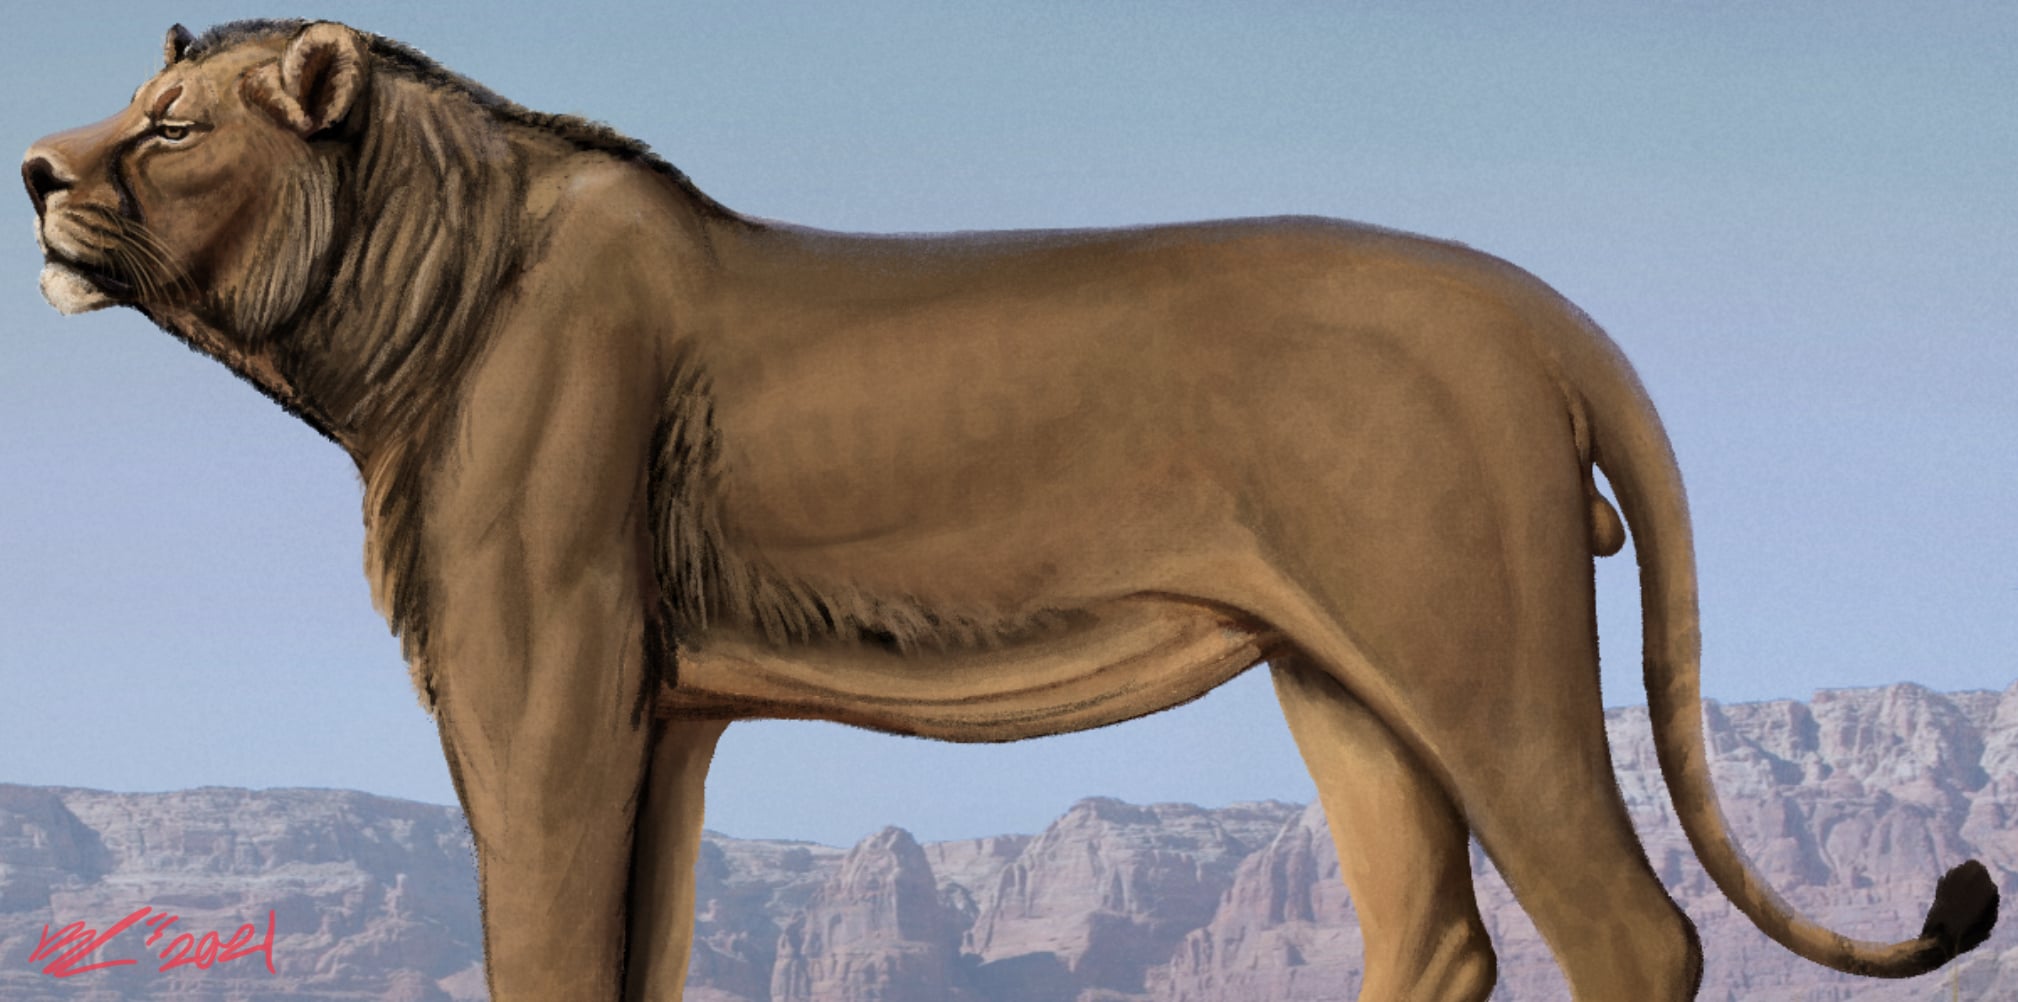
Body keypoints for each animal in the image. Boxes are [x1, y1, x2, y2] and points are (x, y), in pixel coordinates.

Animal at [23, 19, 1996, 1002]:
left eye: (175, 126)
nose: (35, 170)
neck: (407, 306)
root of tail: (1535, 305)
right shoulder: (662, 715)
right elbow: (634, 953)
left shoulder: (546, 692)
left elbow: (550, 953)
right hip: (1342, 676)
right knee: (1436, 935)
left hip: (1472, 646)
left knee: (1627, 930)